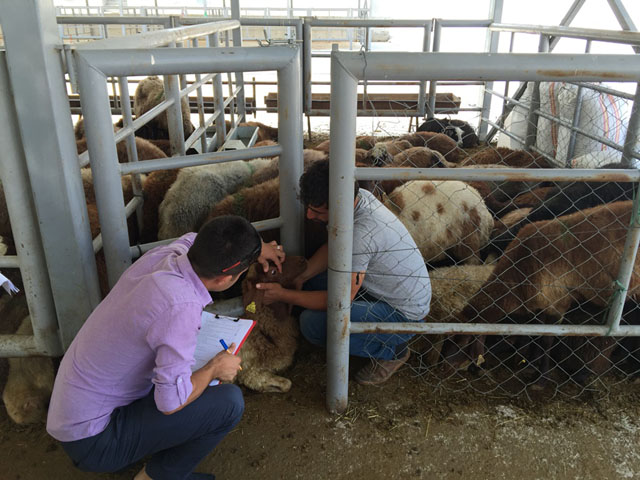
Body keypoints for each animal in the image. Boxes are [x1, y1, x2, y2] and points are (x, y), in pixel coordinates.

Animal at [444, 201, 640, 380]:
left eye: (460, 341)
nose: (442, 367)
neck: (517, 275)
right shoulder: (540, 304)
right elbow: (534, 332)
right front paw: (529, 363)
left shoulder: (557, 302)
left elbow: (546, 339)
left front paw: (541, 377)